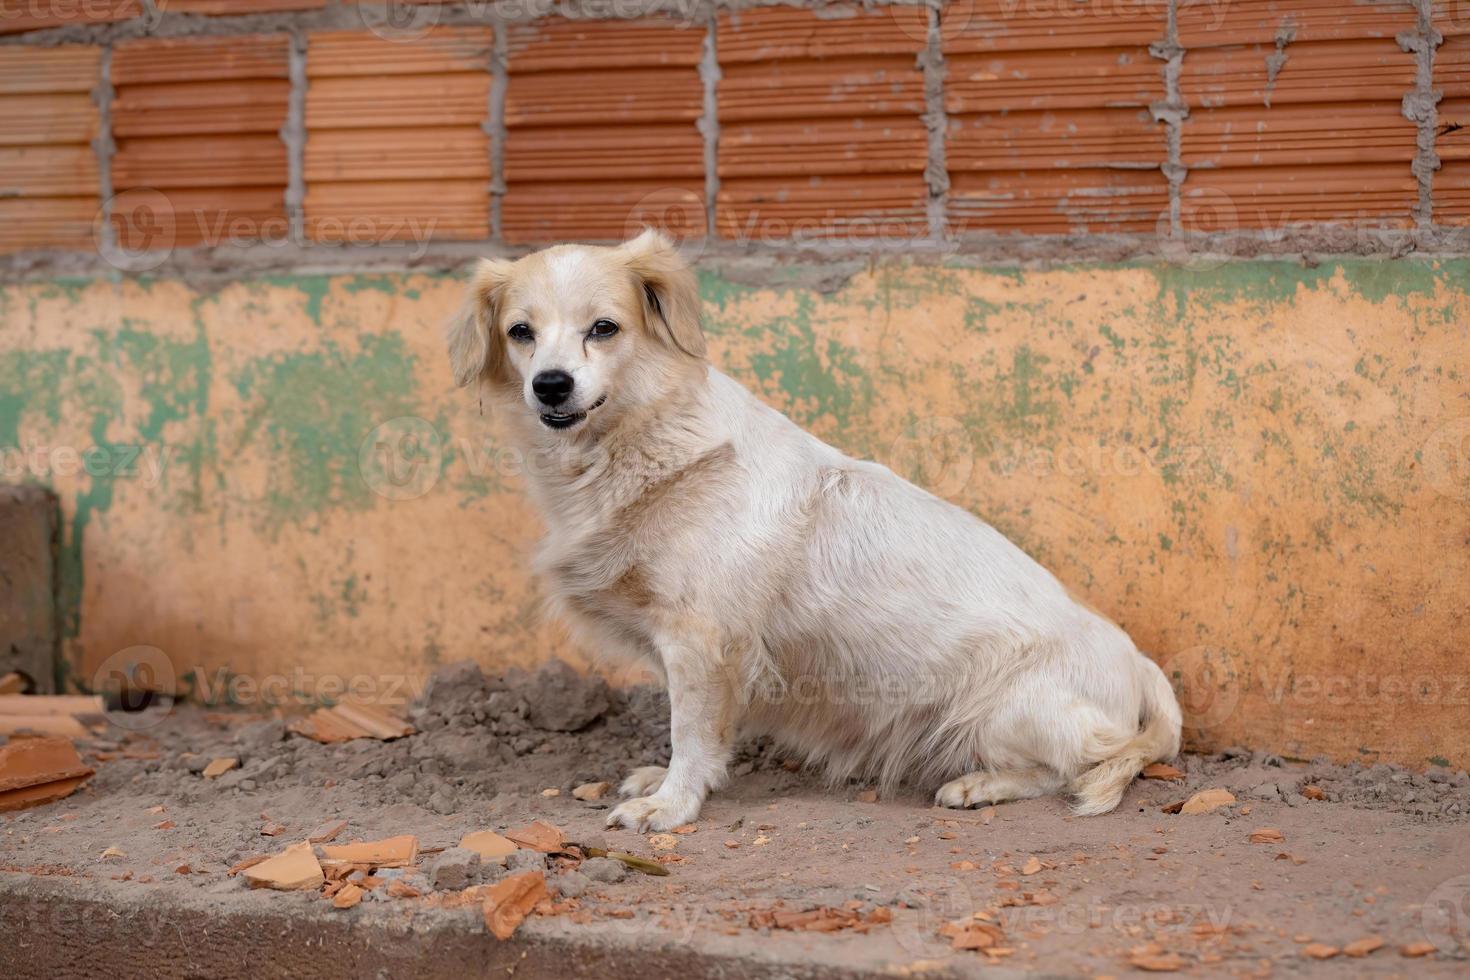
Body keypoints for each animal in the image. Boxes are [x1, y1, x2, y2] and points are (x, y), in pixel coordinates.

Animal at [446, 232, 1181, 834]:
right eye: (520, 332)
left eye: (604, 328)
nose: (550, 385)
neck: (639, 441)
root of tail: (1142, 666)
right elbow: (703, 736)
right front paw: (668, 782)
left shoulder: (701, 641)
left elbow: (691, 733)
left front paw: (672, 806)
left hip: (998, 709)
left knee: (1073, 768)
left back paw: (980, 785)